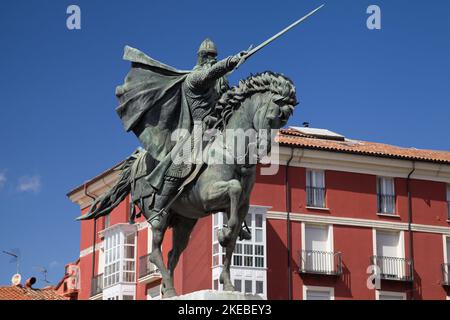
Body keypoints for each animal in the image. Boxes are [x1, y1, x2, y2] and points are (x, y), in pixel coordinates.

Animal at [82, 72, 298, 298]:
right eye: (274, 115)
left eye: (284, 120)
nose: (263, 148)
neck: (231, 150)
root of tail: (136, 164)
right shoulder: (207, 196)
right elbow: (233, 190)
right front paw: (222, 234)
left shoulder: (241, 207)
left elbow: (232, 240)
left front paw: (228, 282)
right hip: (158, 217)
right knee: (155, 252)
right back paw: (169, 290)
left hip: (184, 223)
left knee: (172, 253)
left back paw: (167, 288)